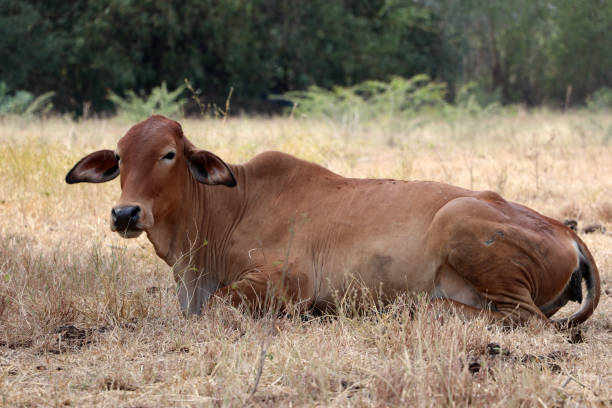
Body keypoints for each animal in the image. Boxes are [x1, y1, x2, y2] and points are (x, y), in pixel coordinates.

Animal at [64, 115, 600, 326]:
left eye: (169, 153)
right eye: (120, 157)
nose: (125, 212)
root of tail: (564, 230)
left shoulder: (287, 281)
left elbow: (220, 305)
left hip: (460, 222)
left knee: (524, 320)